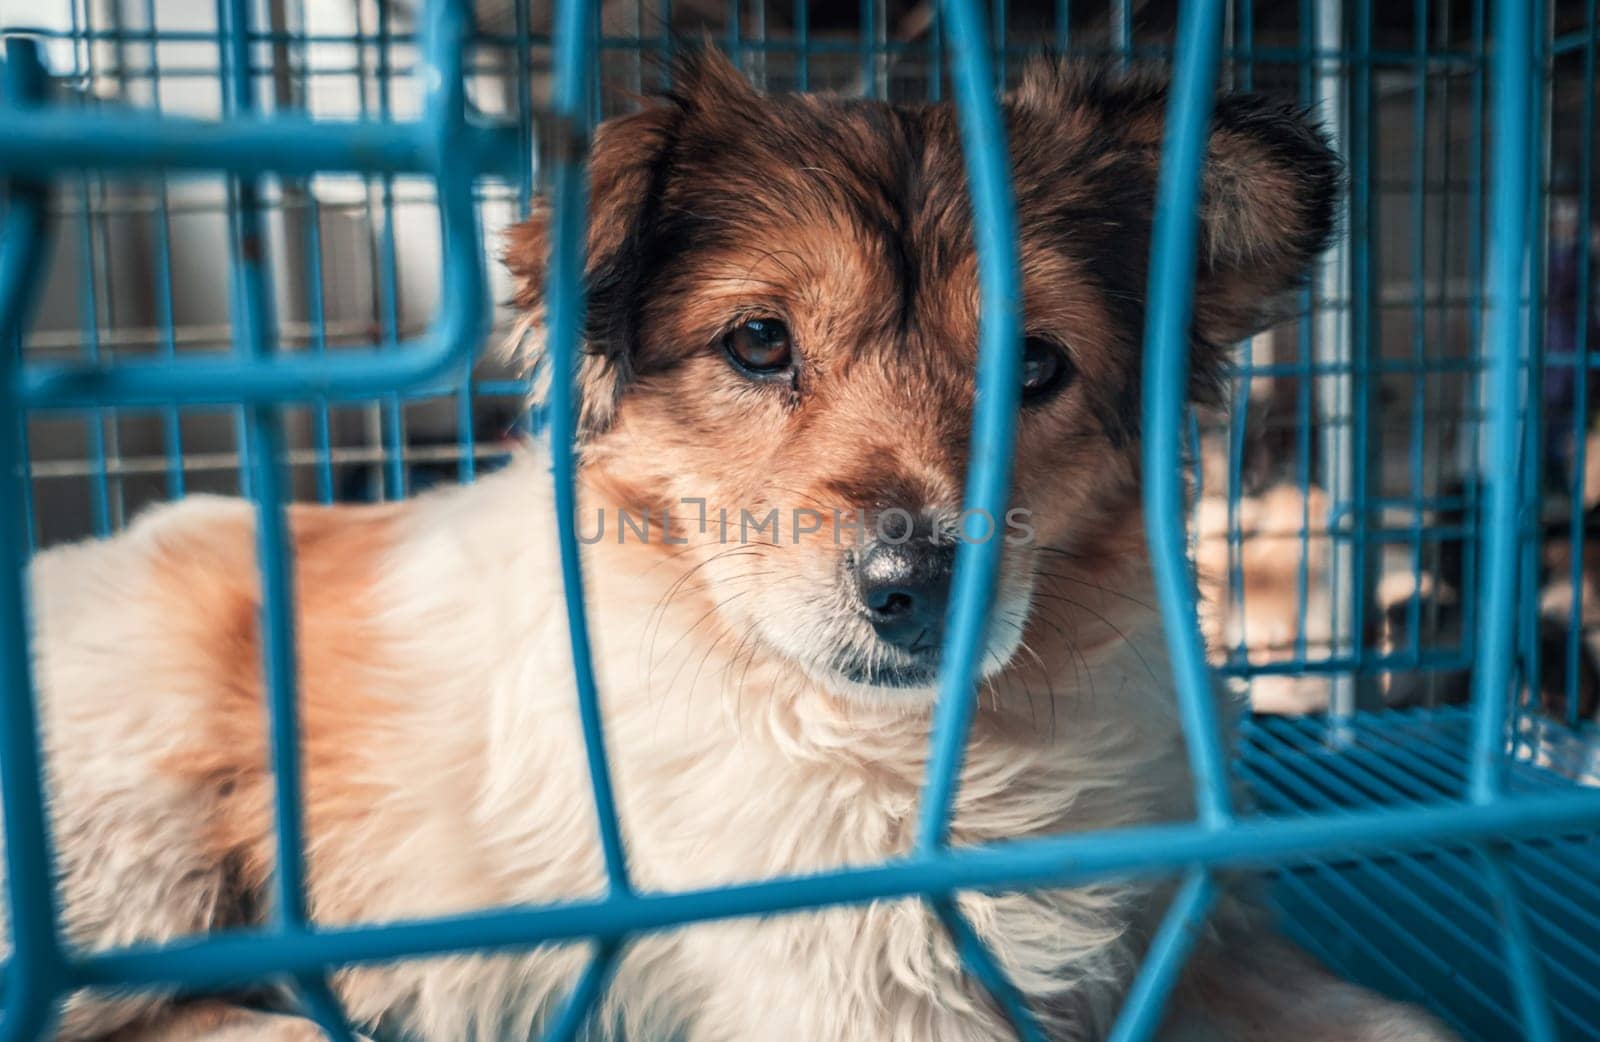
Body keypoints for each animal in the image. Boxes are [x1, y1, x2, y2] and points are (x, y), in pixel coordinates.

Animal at [15, 52, 1465, 1042]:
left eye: (1034, 365)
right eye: (759, 341)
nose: (916, 585)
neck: (942, 753)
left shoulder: (1195, 926)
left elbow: (1405, 1022)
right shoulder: (867, 995)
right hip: (135, 839)